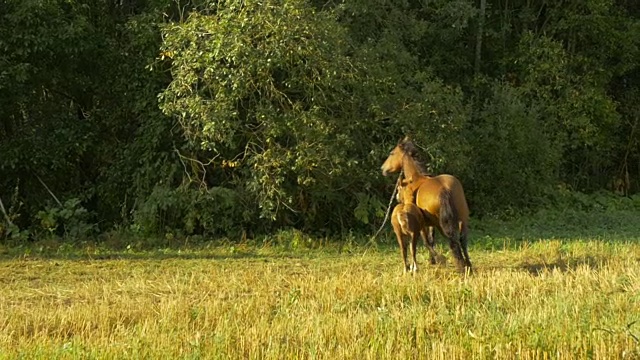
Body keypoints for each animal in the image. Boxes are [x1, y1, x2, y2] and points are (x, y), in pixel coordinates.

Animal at [380, 137, 470, 272]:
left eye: (392, 153)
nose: (382, 169)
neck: (417, 178)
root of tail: (444, 189)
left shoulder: (422, 225)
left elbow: (426, 242)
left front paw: (437, 260)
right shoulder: (431, 224)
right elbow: (431, 240)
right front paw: (433, 260)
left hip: (441, 223)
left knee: (452, 241)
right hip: (461, 219)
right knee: (462, 240)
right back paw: (468, 266)